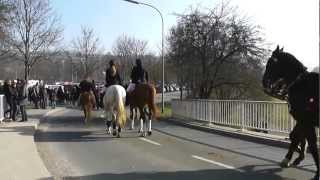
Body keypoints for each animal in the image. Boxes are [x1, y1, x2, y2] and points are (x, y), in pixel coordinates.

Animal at [262, 46, 318, 179]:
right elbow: (295, 136)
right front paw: (295, 156)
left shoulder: (306, 121)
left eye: (270, 62)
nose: (264, 81)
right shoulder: (302, 121)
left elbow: (310, 144)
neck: (301, 84)